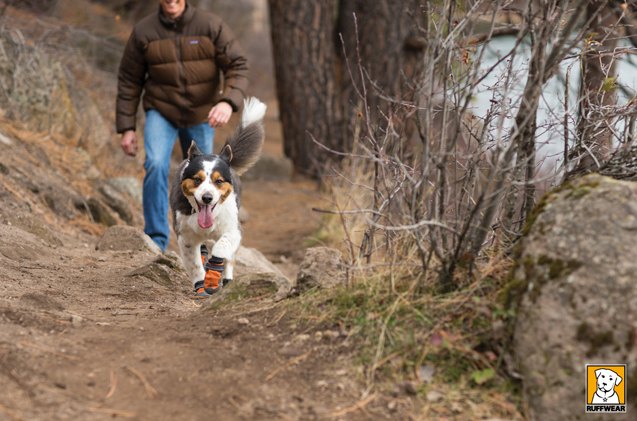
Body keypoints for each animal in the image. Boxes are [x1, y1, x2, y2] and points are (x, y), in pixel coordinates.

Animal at [169, 97, 266, 296]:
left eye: (219, 181)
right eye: (197, 179)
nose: (207, 197)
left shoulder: (234, 230)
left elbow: (221, 249)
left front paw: (214, 273)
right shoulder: (185, 238)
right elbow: (195, 264)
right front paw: (201, 284)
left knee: (229, 257)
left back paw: (226, 278)